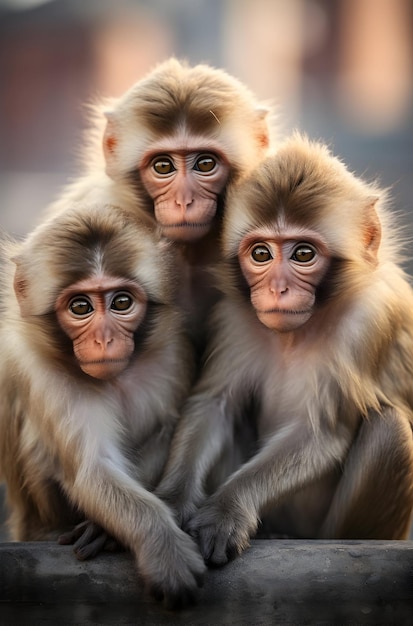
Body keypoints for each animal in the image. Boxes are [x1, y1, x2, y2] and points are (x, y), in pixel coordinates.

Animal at [0, 202, 204, 604]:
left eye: (121, 302)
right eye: (80, 307)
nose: (105, 338)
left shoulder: (172, 352)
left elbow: (169, 431)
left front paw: (107, 532)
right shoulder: (45, 373)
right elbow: (94, 469)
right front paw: (166, 551)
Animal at [154, 133, 412, 564]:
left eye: (303, 254)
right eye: (261, 253)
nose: (277, 289)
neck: (298, 332)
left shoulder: (369, 322)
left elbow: (321, 432)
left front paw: (226, 509)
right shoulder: (235, 317)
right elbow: (216, 405)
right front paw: (171, 502)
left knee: (389, 429)